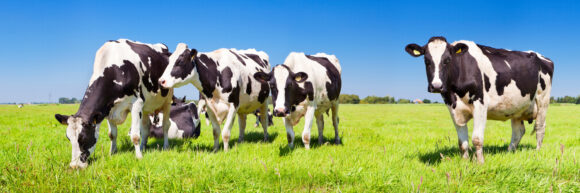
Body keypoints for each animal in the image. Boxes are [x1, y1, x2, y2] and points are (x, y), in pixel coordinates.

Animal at [54, 38, 172, 168]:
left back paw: (165, 146)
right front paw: (112, 153)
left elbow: (135, 135)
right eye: (69, 138)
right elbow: (112, 134)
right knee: (146, 128)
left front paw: (139, 157)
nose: (74, 166)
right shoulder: (107, 109)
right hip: (146, 106)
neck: (115, 69)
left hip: (167, 100)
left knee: (165, 125)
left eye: (83, 138)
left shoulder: (137, 103)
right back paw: (143, 147)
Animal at [406, 35, 556, 163]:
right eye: (426, 61)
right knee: (518, 131)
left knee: (540, 127)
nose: (436, 86)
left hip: (543, 100)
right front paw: (464, 162)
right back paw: (509, 152)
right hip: (517, 107)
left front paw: (480, 162)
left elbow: (477, 139)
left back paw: (537, 152)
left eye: (447, 60)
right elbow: (462, 142)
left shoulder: (480, 104)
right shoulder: (453, 108)